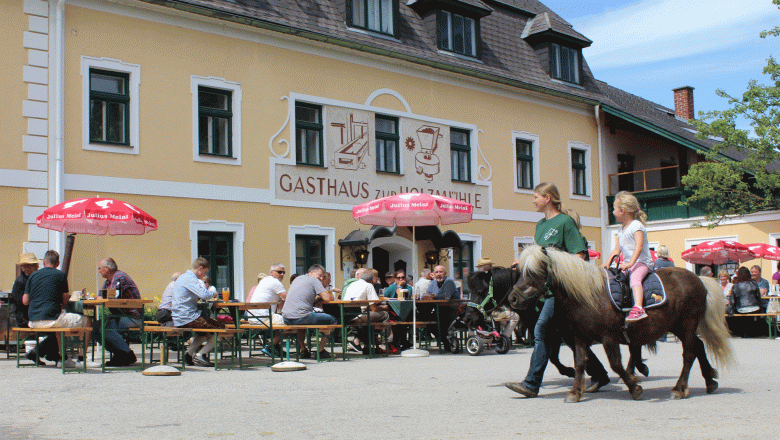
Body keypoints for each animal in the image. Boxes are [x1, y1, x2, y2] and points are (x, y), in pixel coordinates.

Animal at [508, 244, 736, 402]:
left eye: (533, 272)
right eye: (519, 271)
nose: (513, 299)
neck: (590, 295)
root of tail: (700, 280)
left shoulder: (609, 337)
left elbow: (615, 364)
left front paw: (635, 387)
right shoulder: (580, 337)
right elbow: (580, 363)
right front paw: (575, 392)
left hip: (687, 324)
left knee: (689, 353)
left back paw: (679, 389)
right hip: (678, 326)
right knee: (698, 346)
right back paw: (710, 380)